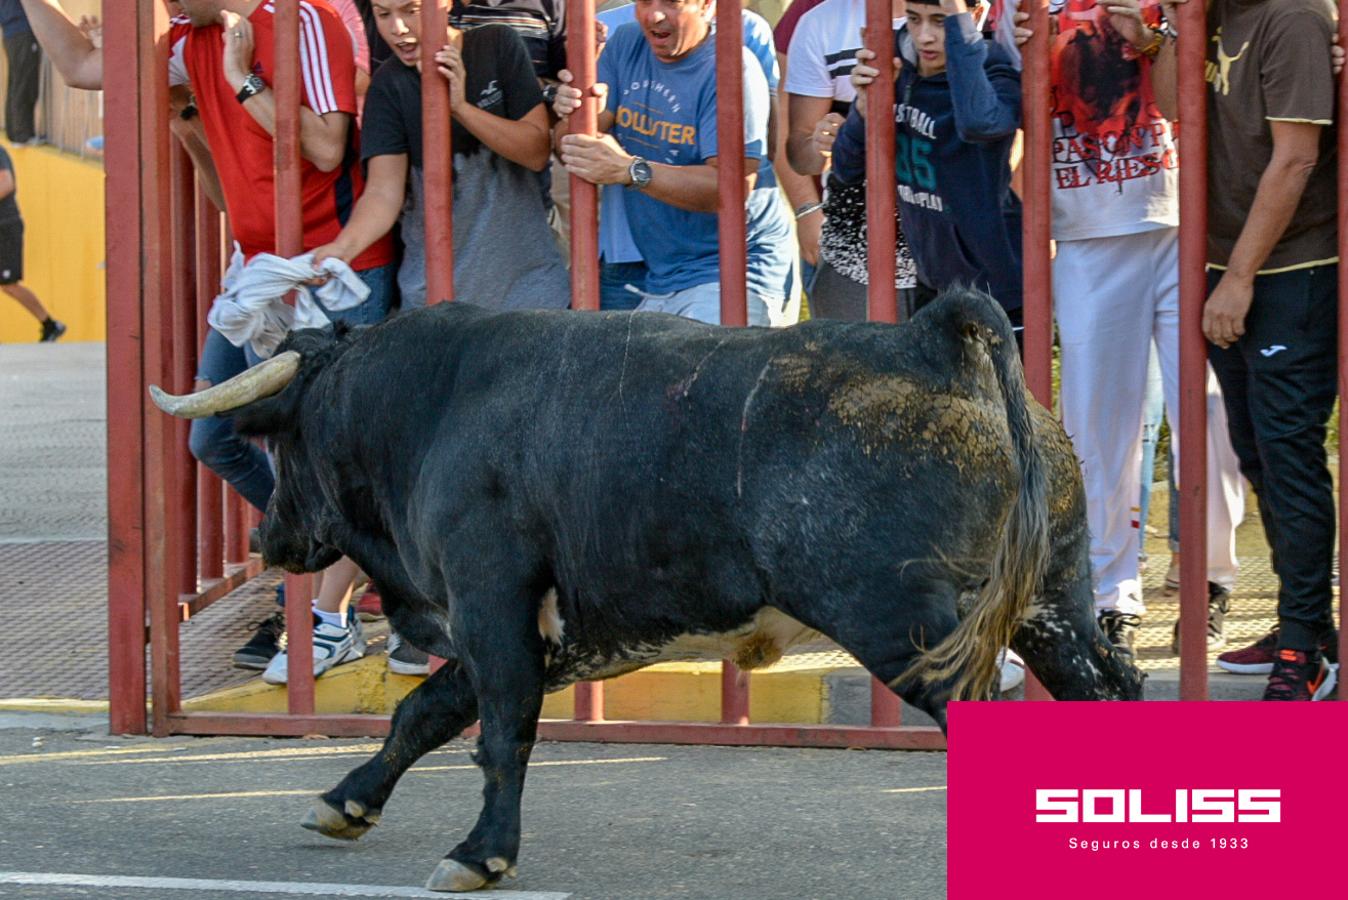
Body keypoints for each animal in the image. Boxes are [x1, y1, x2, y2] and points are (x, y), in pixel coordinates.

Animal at [150, 284, 1137, 889]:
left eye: (286, 436)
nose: (265, 536)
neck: (430, 404)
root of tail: (935, 342)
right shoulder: (541, 631)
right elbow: (423, 714)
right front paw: (346, 802)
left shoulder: (491, 603)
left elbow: (497, 734)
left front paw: (481, 854)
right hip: (1053, 608)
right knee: (1108, 688)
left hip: (912, 634)